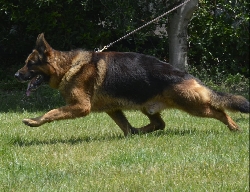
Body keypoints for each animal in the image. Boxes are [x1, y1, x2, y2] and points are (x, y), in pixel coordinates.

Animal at [15, 33, 248, 136]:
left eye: (29, 64)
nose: (17, 74)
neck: (68, 66)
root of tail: (186, 75)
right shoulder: (113, 109)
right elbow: (125, 126)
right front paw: (131, 134)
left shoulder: (81, 107)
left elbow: (51, 112)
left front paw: (34, 121)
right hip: (149, 107)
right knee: (159, 124)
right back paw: (141, 131)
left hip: (192, 105)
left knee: (219, 111)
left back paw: (234, 127)